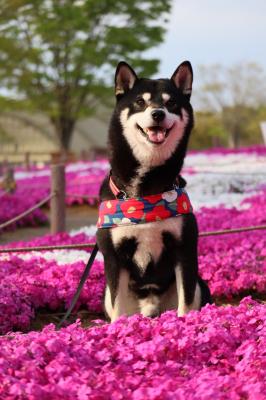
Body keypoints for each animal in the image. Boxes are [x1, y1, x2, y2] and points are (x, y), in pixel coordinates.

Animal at [96, 61, 211, 322]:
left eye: (171, 103)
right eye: (140, 101)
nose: (158, 113)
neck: (145, 192)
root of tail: (150, 308)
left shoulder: (184, 249)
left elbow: (186, 302)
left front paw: (185, 324)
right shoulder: (114, 257)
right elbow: (117, 306)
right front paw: (118, 328)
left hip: (200, 285)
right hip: (106, 293)